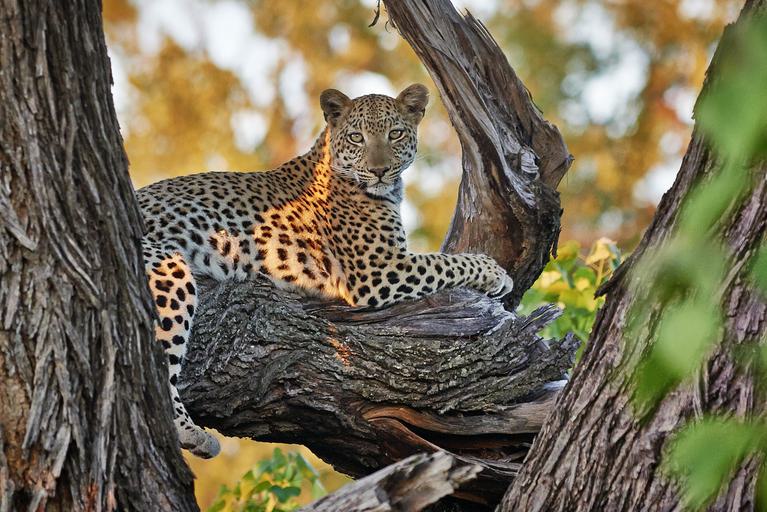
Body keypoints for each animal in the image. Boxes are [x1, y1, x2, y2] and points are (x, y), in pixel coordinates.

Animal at [137, 84, 514, 459]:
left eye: (395, 134)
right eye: (358, 138)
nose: (379, 170)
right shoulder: (380, 268)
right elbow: (446, 261)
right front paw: (496, 273)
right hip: (167, 266)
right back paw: (190, 432)